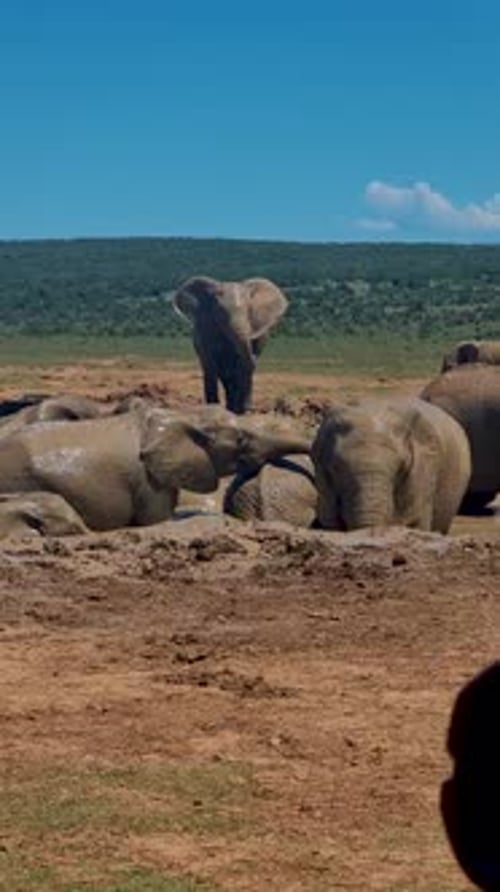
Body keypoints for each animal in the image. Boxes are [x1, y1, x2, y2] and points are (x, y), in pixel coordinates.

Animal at [172, 275, 288, 413]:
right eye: (220, 313)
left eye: (249, 311)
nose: (254, 356)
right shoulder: (205, 328)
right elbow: (211, 363)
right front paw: (214, 408)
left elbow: (238, 366)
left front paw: (240, 410)